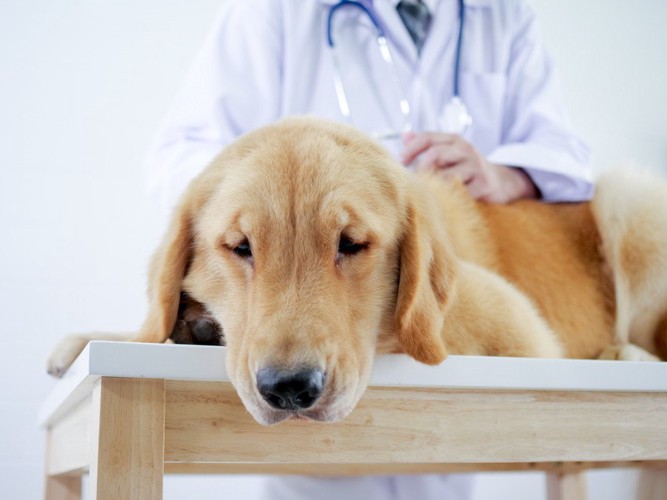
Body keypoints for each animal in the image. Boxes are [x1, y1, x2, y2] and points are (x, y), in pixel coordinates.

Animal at [49, 117, 667, 426]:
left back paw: (624, 354)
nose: (290, 389)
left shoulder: (514, 325)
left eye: (352, 244)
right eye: (240, 247)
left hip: (628, 198)